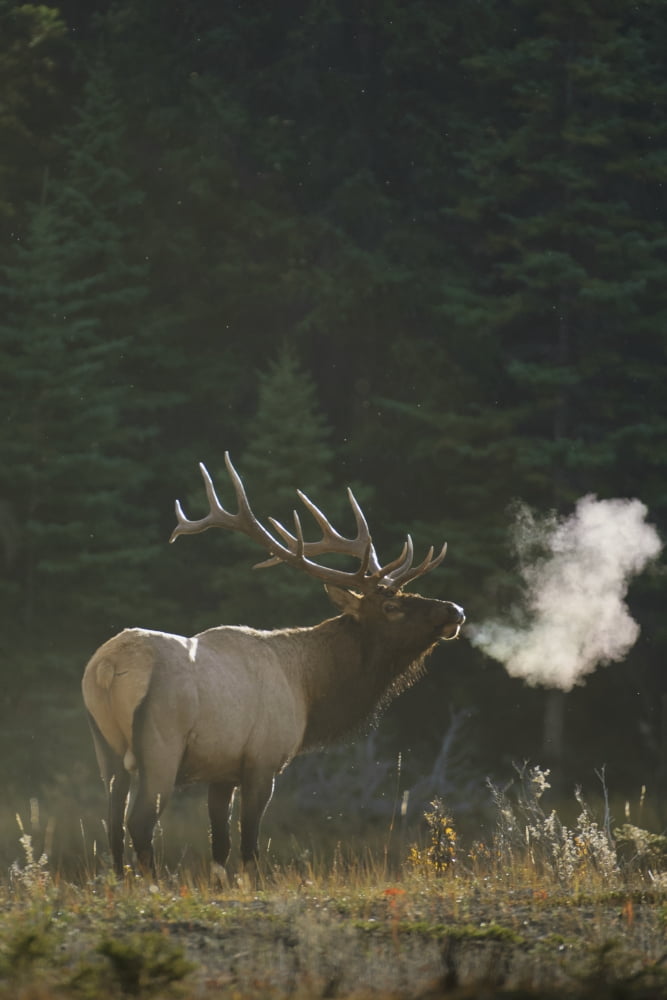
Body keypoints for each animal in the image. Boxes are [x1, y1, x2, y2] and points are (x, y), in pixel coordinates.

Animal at [82, 453, 465, 878]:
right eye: (391, 606)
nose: (455, 610)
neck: (309, 689)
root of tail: (106, 668)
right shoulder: (263, 760)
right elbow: (249, 845)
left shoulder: (222, 772)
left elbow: (220, 847)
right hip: (160, 743)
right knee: (140, 822)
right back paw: (153, 884)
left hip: (105, 748)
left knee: (113, 823)